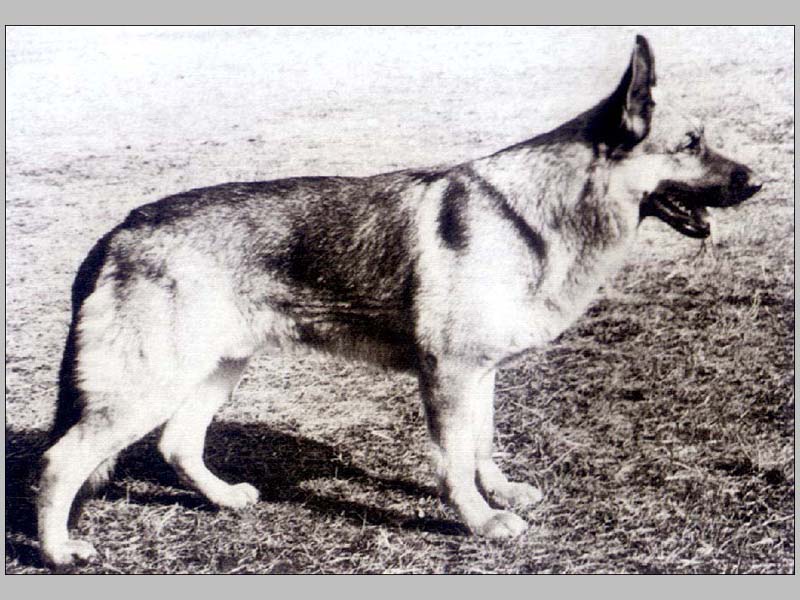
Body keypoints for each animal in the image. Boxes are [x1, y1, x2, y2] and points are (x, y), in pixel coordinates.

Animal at [37, 35, 762, 567]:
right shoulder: (448, 375)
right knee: (59, 462)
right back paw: (58, 551)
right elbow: (454, 460)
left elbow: (482, 443)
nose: (759, 182)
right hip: (151, 385)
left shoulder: (478, 374)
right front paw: (479, 521)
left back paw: (224, 499)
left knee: (177, 446)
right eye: (691, 145)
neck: (537, 212)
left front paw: (499, 493)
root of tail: (122, 228)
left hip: (216, 369)